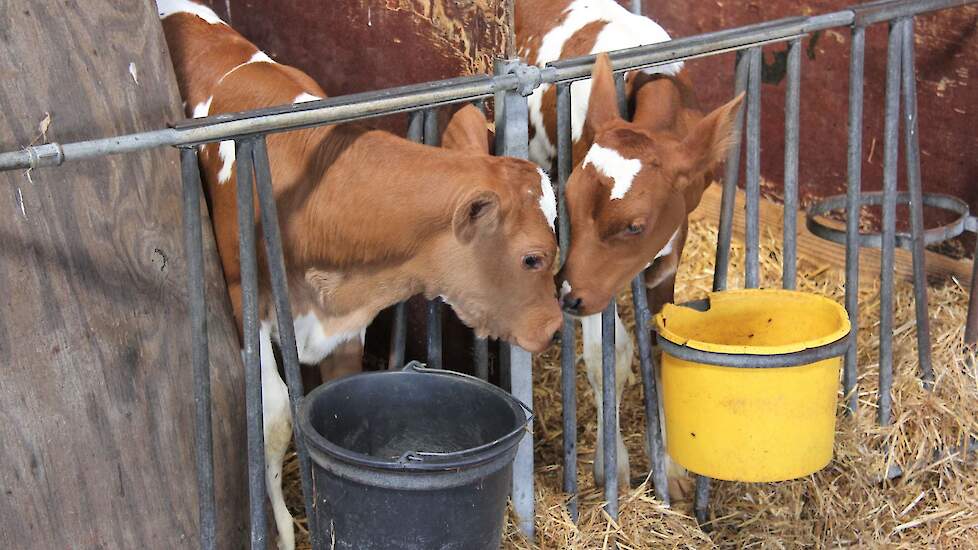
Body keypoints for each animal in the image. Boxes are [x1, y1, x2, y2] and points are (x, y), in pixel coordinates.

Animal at [156, 3, 560, 548]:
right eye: (532, 258)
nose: (554, 326)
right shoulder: (245, 300)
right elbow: (274, 416)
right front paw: (283, 531)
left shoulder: (345, 319)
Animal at [516, 0, 736, 496]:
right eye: (569, 204)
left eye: (637, 225)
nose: (565, 298)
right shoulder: (584, 273)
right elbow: (606, 357)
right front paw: (611, 468)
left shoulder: (669, 252)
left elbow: (663, 346)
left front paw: (673, 470)